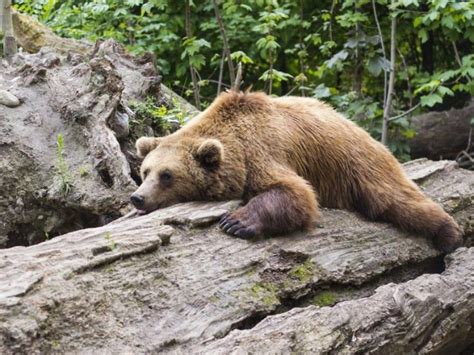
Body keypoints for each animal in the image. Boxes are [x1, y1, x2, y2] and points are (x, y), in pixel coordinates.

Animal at [132, 90, 462, 254]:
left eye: (167, 175)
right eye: (145, 171)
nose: (138, 198)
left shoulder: (263, 152)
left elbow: (295, 193)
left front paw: (236, 222)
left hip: (358, 164)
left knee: (396, 199)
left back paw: (449, 234)